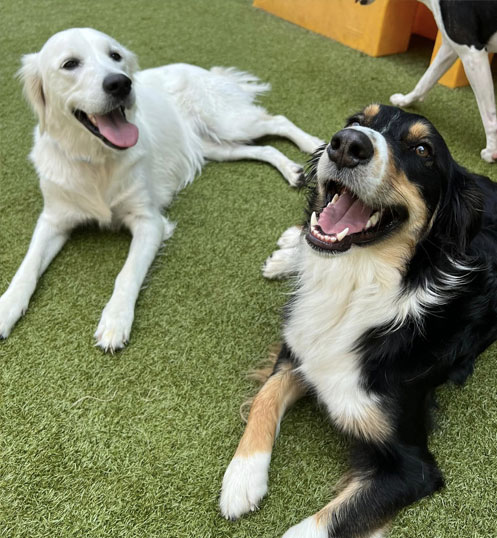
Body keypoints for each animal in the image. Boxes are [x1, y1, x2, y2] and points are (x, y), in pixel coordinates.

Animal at [0, 28, 322, 352]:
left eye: (115, 55)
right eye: (70, 64)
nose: (120, 83)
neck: (96, 160)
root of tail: (201, 69)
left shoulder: (149, 222)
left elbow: (127, 274)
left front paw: (115, 320)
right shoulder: (53, 220)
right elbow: (27, 267)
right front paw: (6, 308)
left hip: (230, 123)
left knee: (277, 121)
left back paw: (313, 146)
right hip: (216, 147)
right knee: (264, 147)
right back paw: (292, 171)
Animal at [220, 104, 496, 536]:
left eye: (423, 150)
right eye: (355, 121)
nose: (347, 145)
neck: (354, 284)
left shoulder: (412, 466)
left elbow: (318, 525)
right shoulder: (300, 347)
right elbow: (266, 393)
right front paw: (242, 477)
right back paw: (287, 252)